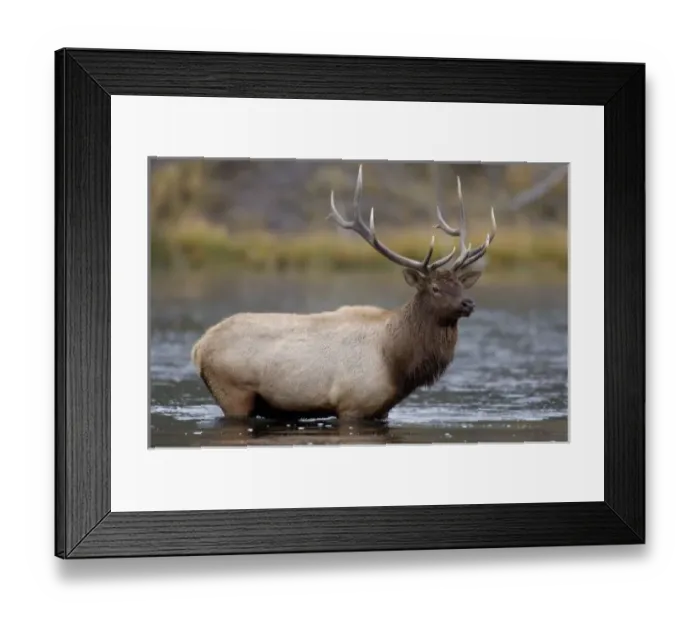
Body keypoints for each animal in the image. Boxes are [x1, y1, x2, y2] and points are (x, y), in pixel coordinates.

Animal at [191, 164, 497, 421]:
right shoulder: (353, 405)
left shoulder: (380, 411)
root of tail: (198, 348)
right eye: (434, 287)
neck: (395, 362)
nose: (468, 303)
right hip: (233, 393)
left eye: (460, 285)